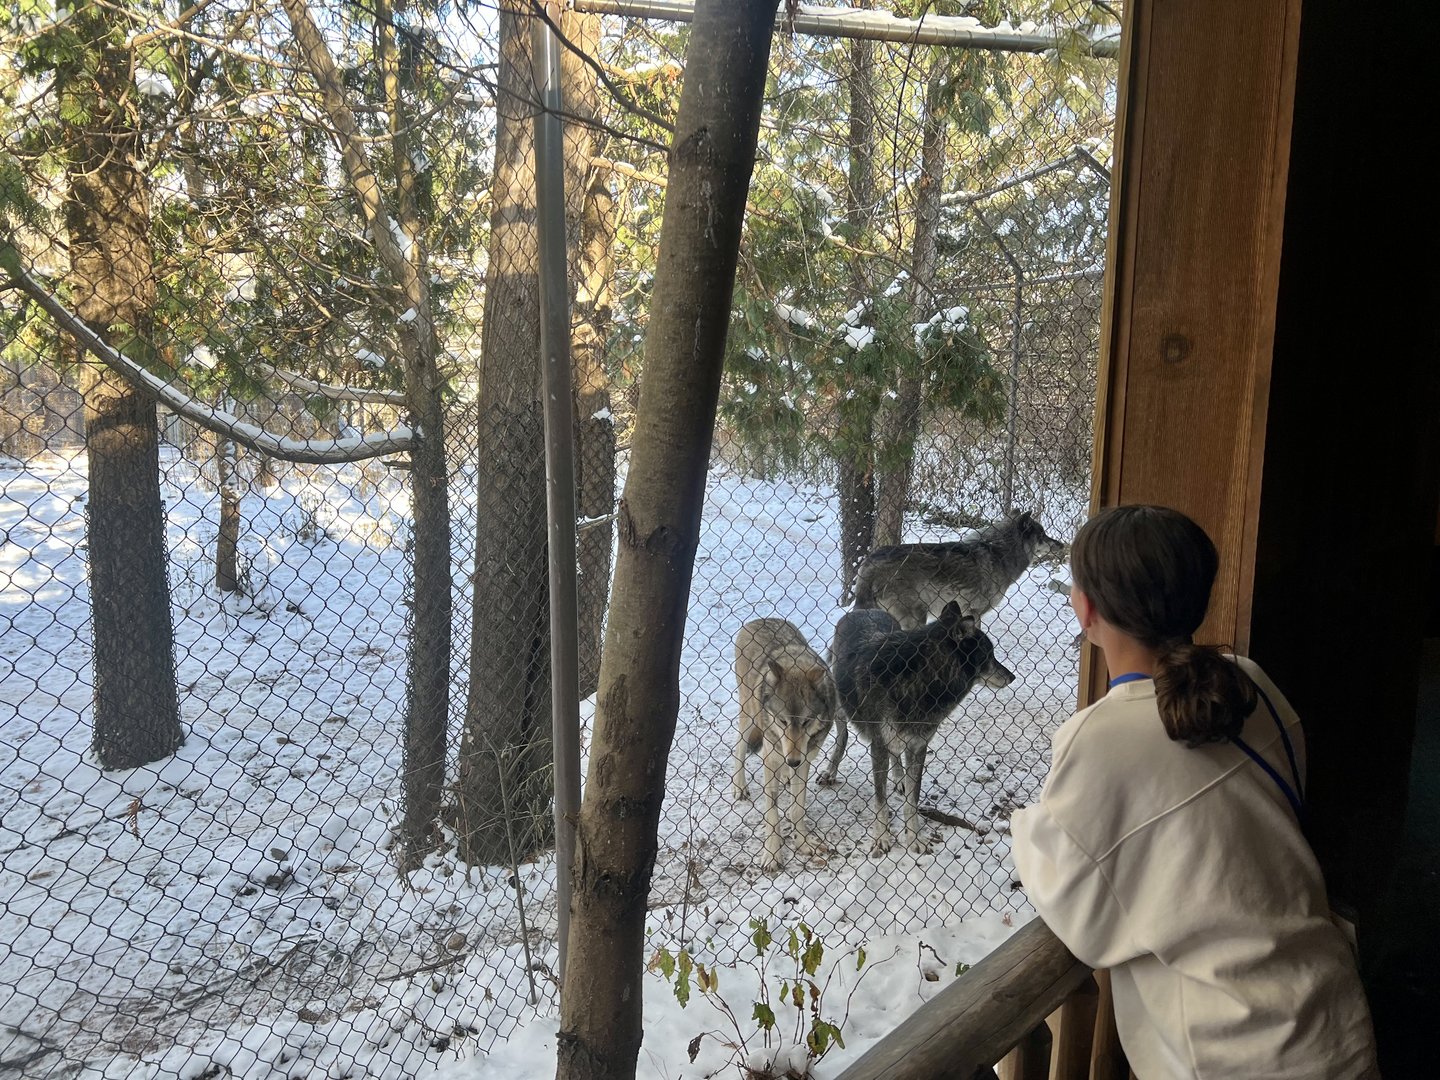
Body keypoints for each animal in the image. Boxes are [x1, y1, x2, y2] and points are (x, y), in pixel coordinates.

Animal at [731, 618, 838, 871]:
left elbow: (798, 808)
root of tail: (759, 619)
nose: (793, 760)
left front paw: (803, 843)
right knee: (738, 747)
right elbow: (772, 812)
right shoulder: (770, 758)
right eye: (782, 721)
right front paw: (772, 855)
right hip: (748, 716)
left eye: (806, 722)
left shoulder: (806, 759)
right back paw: (740, 787)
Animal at [826, 602, 1014, 855]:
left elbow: (912, 800)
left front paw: (914, 838)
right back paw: (830, 771)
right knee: (842, 736)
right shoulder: (879, 746)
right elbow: (880, 801)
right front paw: (882, 838)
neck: (922, 681)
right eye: (989, 655)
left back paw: (898, 779)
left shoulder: (918, 747)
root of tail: (864, 609)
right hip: (839, 708)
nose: (1012, 677)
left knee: (896, 759)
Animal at [852, 509, 1067, 631]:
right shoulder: (974, 612)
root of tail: (869, 563)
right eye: (1042, 534)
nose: (1062, 544)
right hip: (916, 618)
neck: (998, 552)